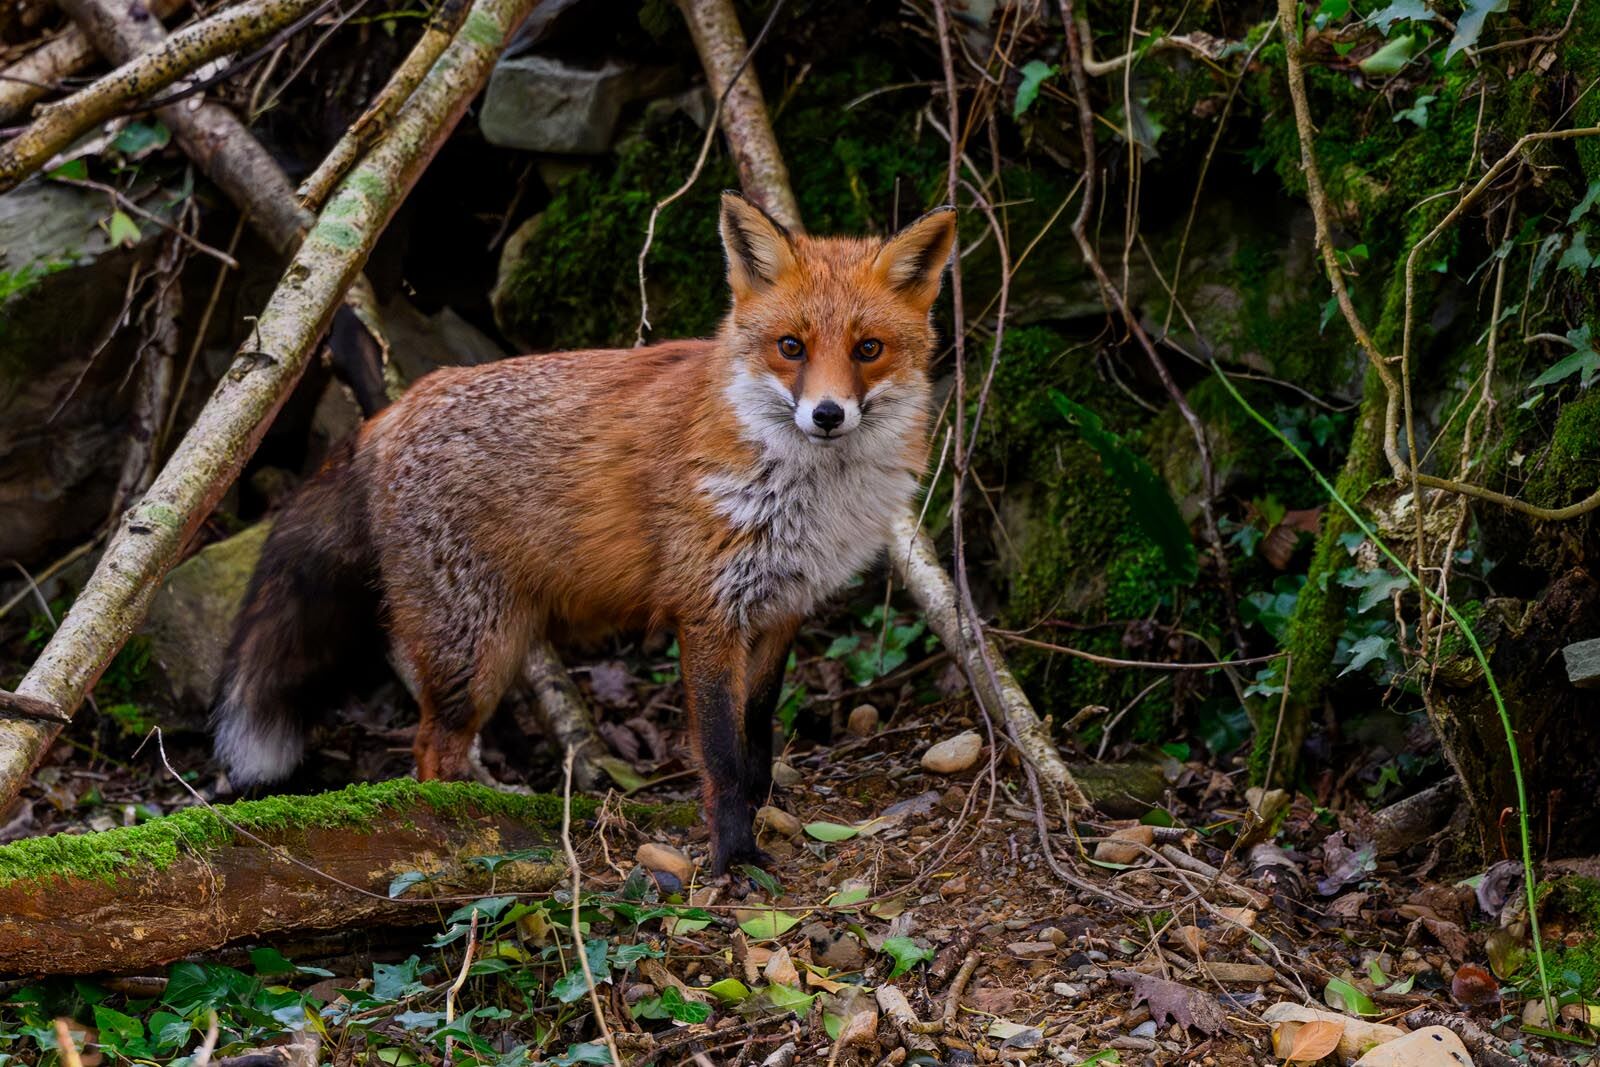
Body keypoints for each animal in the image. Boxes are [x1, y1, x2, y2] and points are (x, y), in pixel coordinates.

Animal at [211, 192, 957, 873]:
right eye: (791, 347)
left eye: (868, 349)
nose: (827, 415)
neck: (805, 494)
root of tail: (389, 413)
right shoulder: (707, 611)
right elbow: (720, 754)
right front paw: (734, 855)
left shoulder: (781, 609)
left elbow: (757, 735)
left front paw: (761, 809)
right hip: (474, 651)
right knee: (430, 751)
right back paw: (452, 836)